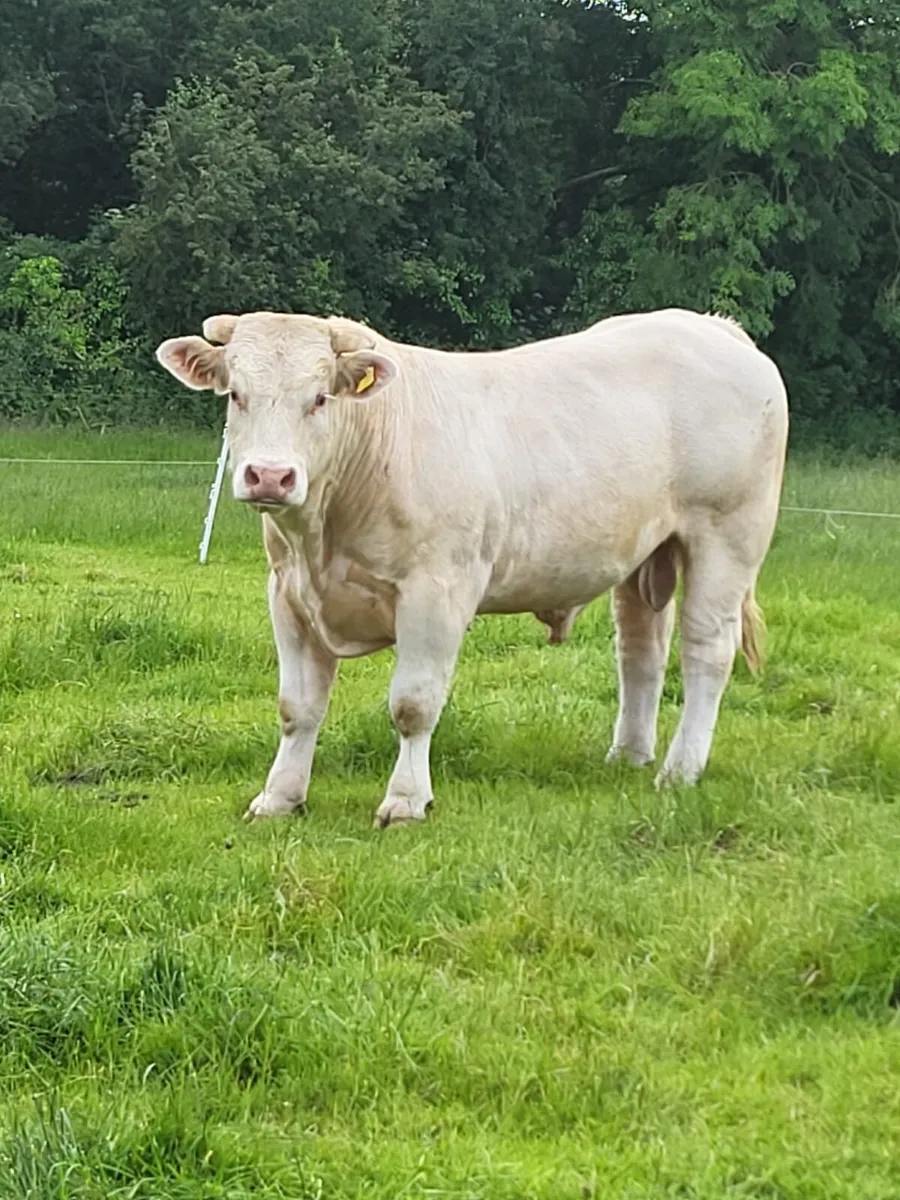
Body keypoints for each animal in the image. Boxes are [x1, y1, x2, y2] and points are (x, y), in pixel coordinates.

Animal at [156, 308, 788, 828]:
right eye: (236, 395)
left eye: (319, 398)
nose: (270, 476)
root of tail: (712, 326)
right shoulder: (288, 595)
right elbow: (297, 708)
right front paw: (279, 798)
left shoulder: (436, 591)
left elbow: (413, 705)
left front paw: (406, 801)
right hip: (644, 554)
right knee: (641, 651)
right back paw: (628, 755)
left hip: (726, 538)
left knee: (707, 653)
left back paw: (679, 771)